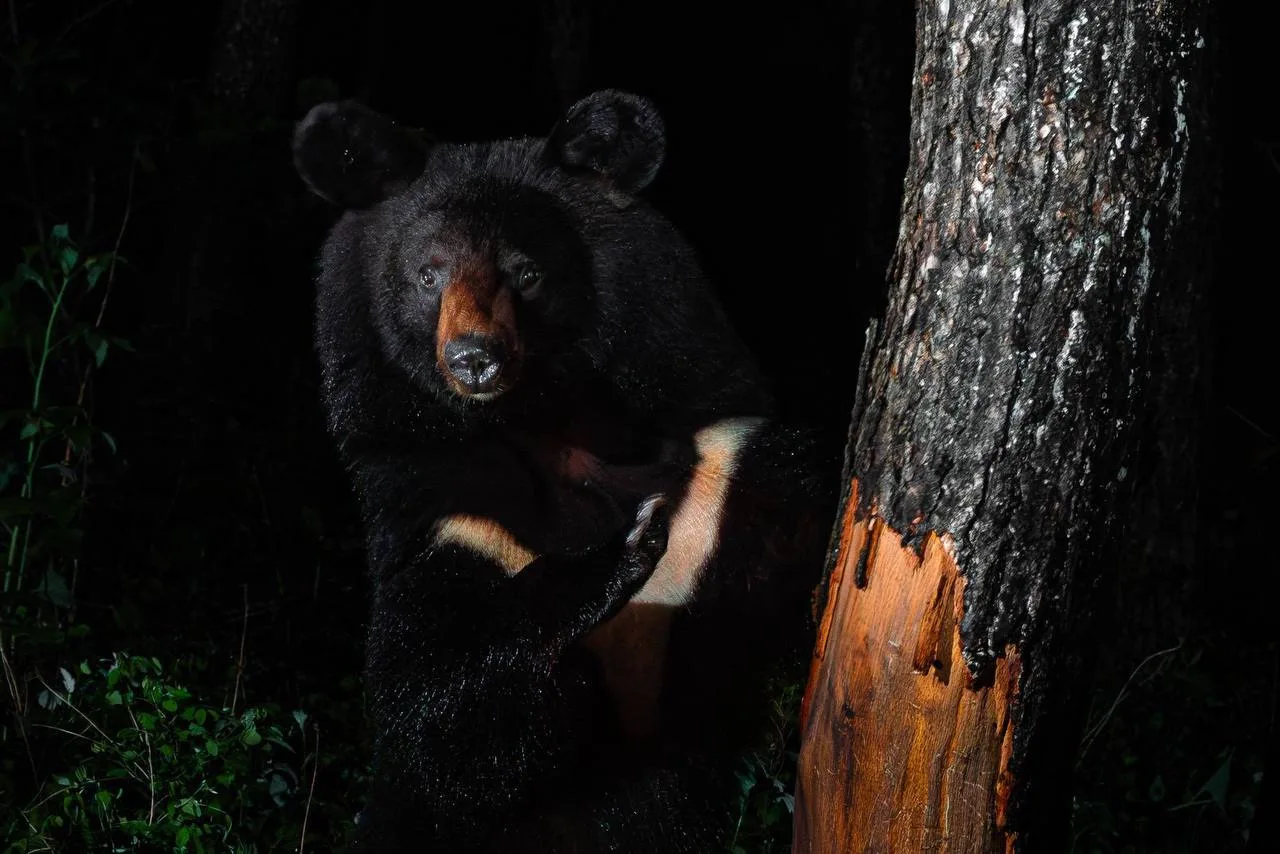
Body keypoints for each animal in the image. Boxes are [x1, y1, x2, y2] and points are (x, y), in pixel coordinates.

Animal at [292, 90, 836, 852]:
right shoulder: (447, 512)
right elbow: (435, 720)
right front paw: (615, 557)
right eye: (428, 274)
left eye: (526, 273)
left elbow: (799, 502)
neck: (552, 426)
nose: (475, 359)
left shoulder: (716, 473)